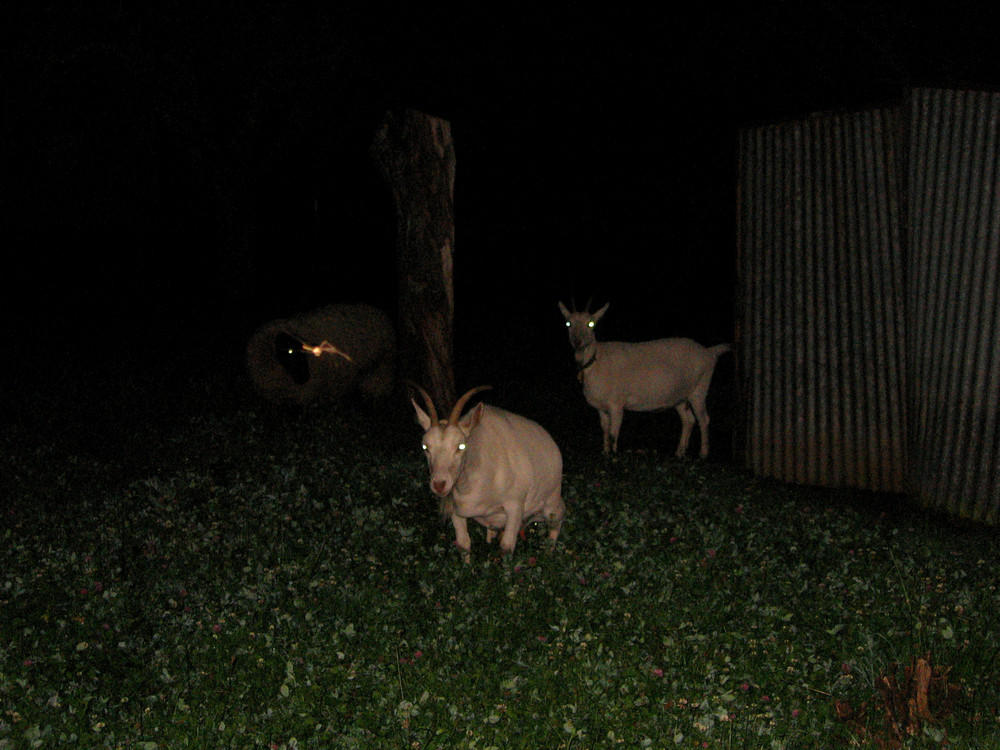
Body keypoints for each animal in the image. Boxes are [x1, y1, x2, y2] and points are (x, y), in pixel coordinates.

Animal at [406, 382, 564, 564]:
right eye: (425, 447)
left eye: (461, 446)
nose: (439, 484)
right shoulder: (456, 509)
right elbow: (463, 543)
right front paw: (467, 568)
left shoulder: (515, 506)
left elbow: (507, 546)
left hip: (551, 502)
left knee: (557, 519)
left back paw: (549, 554)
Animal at [560, 302, 732, 458]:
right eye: (568, 323)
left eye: (591, 324)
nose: (577, 341)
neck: (597, 359)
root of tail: (710, 352)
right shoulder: (601, 407)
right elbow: (605, 430)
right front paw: (605, 452)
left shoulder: (617, 403)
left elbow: (613, 432)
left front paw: (613, 457)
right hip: (680, 396)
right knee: (688, 420)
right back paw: (680, 453)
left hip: (699, 388)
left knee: (704, 419)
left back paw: (703, 454)